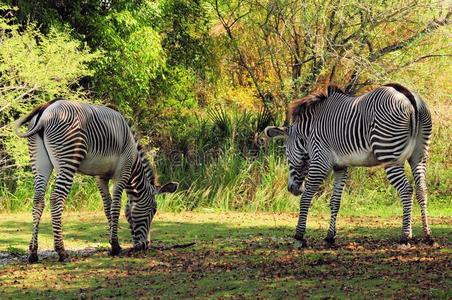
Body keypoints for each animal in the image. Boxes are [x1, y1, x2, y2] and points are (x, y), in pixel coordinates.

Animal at [14, 99, 177, 262]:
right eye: (154, 210)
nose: (145, 245)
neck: (134, 162)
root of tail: (46, 110)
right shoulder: (122, 173)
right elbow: (115, 207)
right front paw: (115, 246)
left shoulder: (101, 178)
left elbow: (107, 207)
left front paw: (113, 243)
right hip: (68, 158)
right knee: (56, 199)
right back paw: (61, 251)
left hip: (40, 163)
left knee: (38, 201)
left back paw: (33, 252)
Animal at [264, 84, 434, 246]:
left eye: (286, 154)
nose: (291, 189)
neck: (309, 133)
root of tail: (408, 96)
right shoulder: (341, 166)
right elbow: (335, 202)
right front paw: (330, 237)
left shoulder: (320, 161)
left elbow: (306, 198)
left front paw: (299, 236)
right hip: (419, 155)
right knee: (421, 189)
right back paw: (427, 235)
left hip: (389, 153)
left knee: (406, 190)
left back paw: (405, 236)